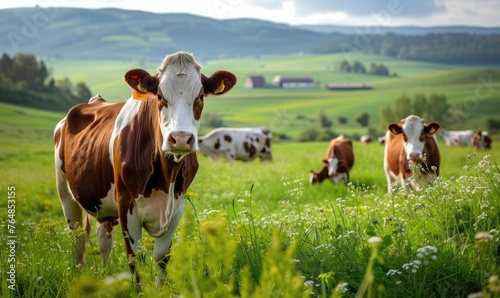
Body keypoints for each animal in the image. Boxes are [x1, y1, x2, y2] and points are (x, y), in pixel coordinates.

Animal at [53, 51, 237, 282]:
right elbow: (136, 260)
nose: (181, 138)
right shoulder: (126, 204)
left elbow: (161, 257)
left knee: (103, 239)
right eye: (159, 96)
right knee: (78, 240)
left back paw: (106, 274)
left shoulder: (177, 206)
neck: (166, 177)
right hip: (65, 191)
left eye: (201, 96)